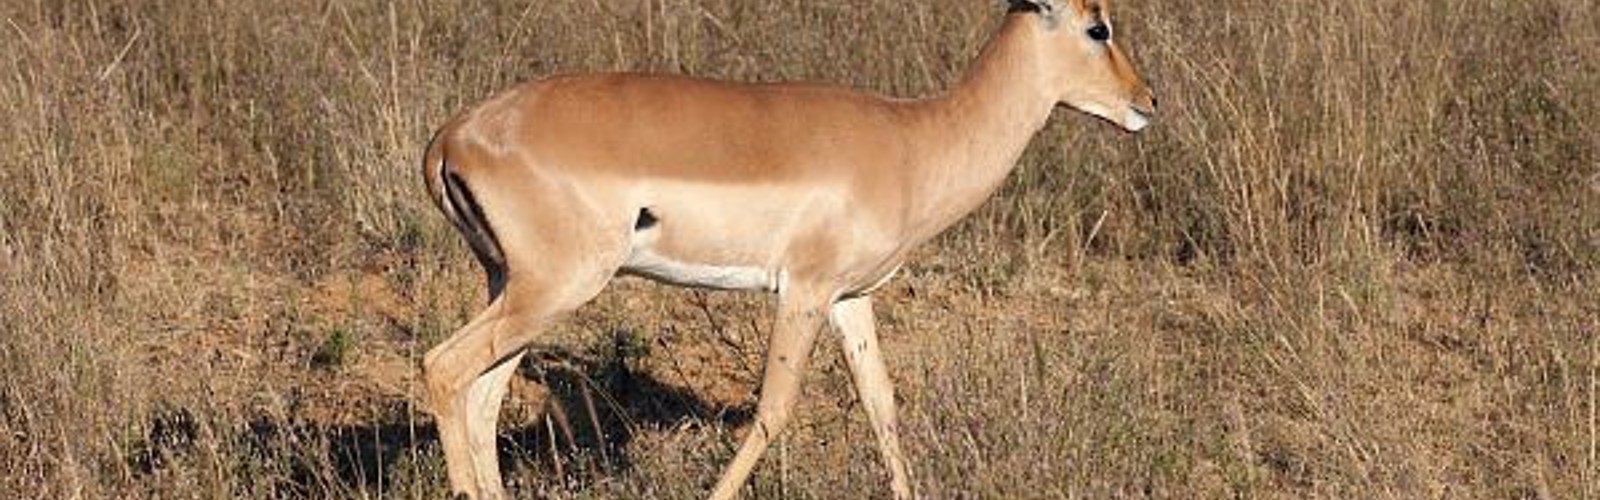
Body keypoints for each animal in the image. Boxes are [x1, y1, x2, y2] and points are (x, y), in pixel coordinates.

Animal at [420, 0, 1154, 497]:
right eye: (1098, 27)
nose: (1146, 100)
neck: (913, 140)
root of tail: (454, 134)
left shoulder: (851, 298)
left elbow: (881, 404)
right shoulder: (803, 290)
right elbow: (774, 409)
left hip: (513, 288)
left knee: (482, 395)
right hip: (553, 288)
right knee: (444, 368)